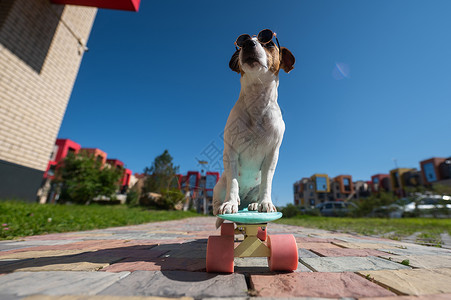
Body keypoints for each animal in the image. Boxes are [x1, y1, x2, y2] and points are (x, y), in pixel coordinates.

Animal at [213, 29, 296, 225]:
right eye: (241, 42)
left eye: (269, 43)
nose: (248, 44)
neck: (256, 100)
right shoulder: (231, 151)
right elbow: (233, 182)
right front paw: (229, 203)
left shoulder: (272, 154)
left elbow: (267, 181)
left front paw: (265, 203)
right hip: (218, 186)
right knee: (219, 200)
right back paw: (229, 204)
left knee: (256, 194)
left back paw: (253, 204)